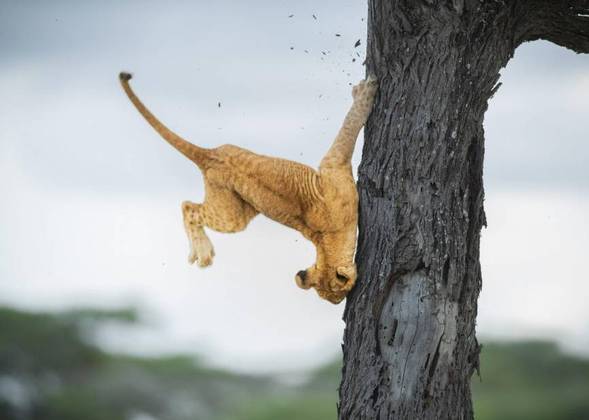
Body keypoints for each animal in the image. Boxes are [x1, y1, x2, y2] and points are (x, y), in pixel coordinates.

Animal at [118, 72, 376, 302]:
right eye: (337, 297)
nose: (338, 304)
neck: (325, 244)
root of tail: (208, 155)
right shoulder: (333, 165)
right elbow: (347, 130)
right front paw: (365, 93)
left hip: (244, 206)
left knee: (190, 205)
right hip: (231, 217)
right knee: (188, 207)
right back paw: (203, 253)